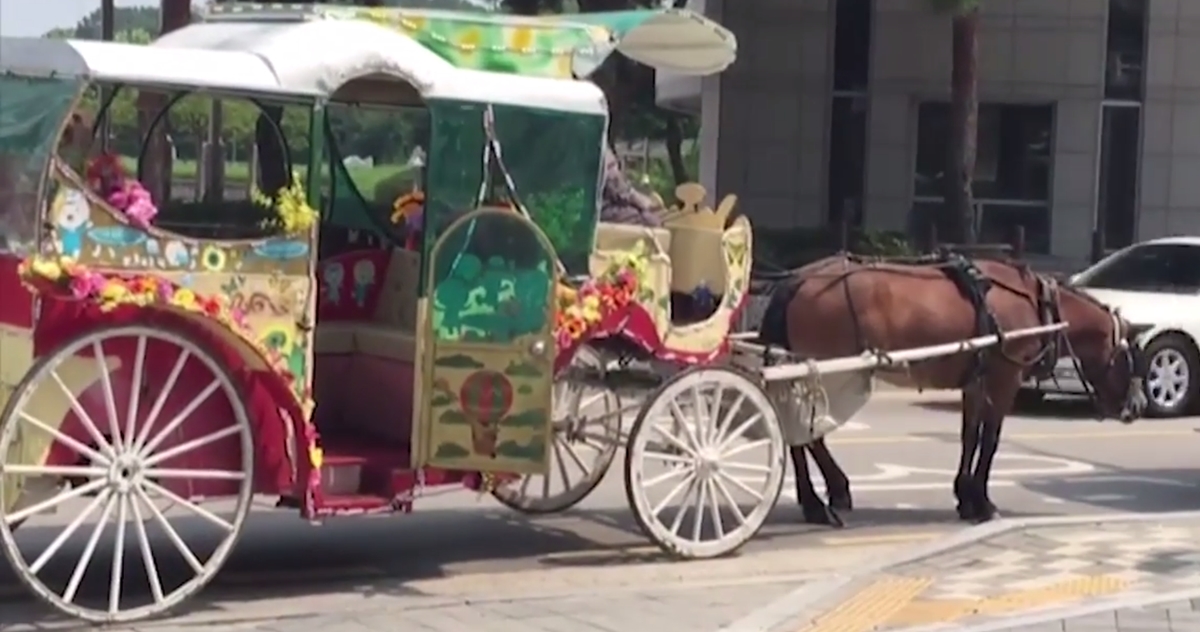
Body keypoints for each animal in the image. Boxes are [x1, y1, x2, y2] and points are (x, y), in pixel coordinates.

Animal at [758, 251, 1142, 525]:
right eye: (1129, 355)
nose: (1136, 407)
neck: (1039, 307)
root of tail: (797, 280)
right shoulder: (1004, 378)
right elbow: (990, 440)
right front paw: (983, 502)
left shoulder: (976, 382)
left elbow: (969, 436)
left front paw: (965, 495)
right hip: (824, 371)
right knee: (806, 434)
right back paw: (821, 500)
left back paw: (822, 497)